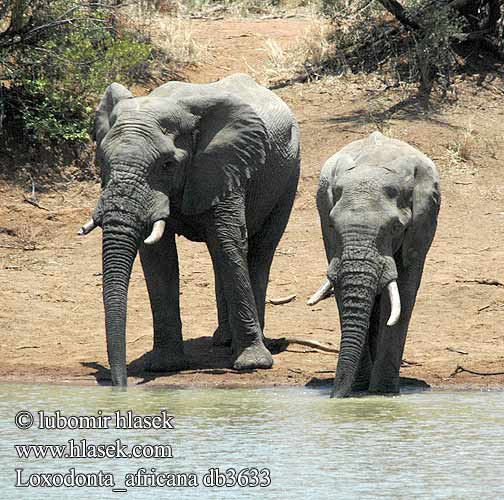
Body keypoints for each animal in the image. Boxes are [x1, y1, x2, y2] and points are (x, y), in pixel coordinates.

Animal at [79, 74, 300, 386]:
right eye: (102, 161)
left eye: (168, 164)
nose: (119, 384)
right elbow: (158, 259)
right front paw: (164, 366)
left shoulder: (224, 165)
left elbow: (229, 242)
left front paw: (253, 364)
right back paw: (223, 340)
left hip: (289, 172)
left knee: (259, 250)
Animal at [310, 132, 440, 398]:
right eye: (332, 225)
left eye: (396, 227)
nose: (335, 397)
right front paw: (360, 389)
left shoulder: (420, 227)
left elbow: (404, 292)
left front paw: (383, 393)